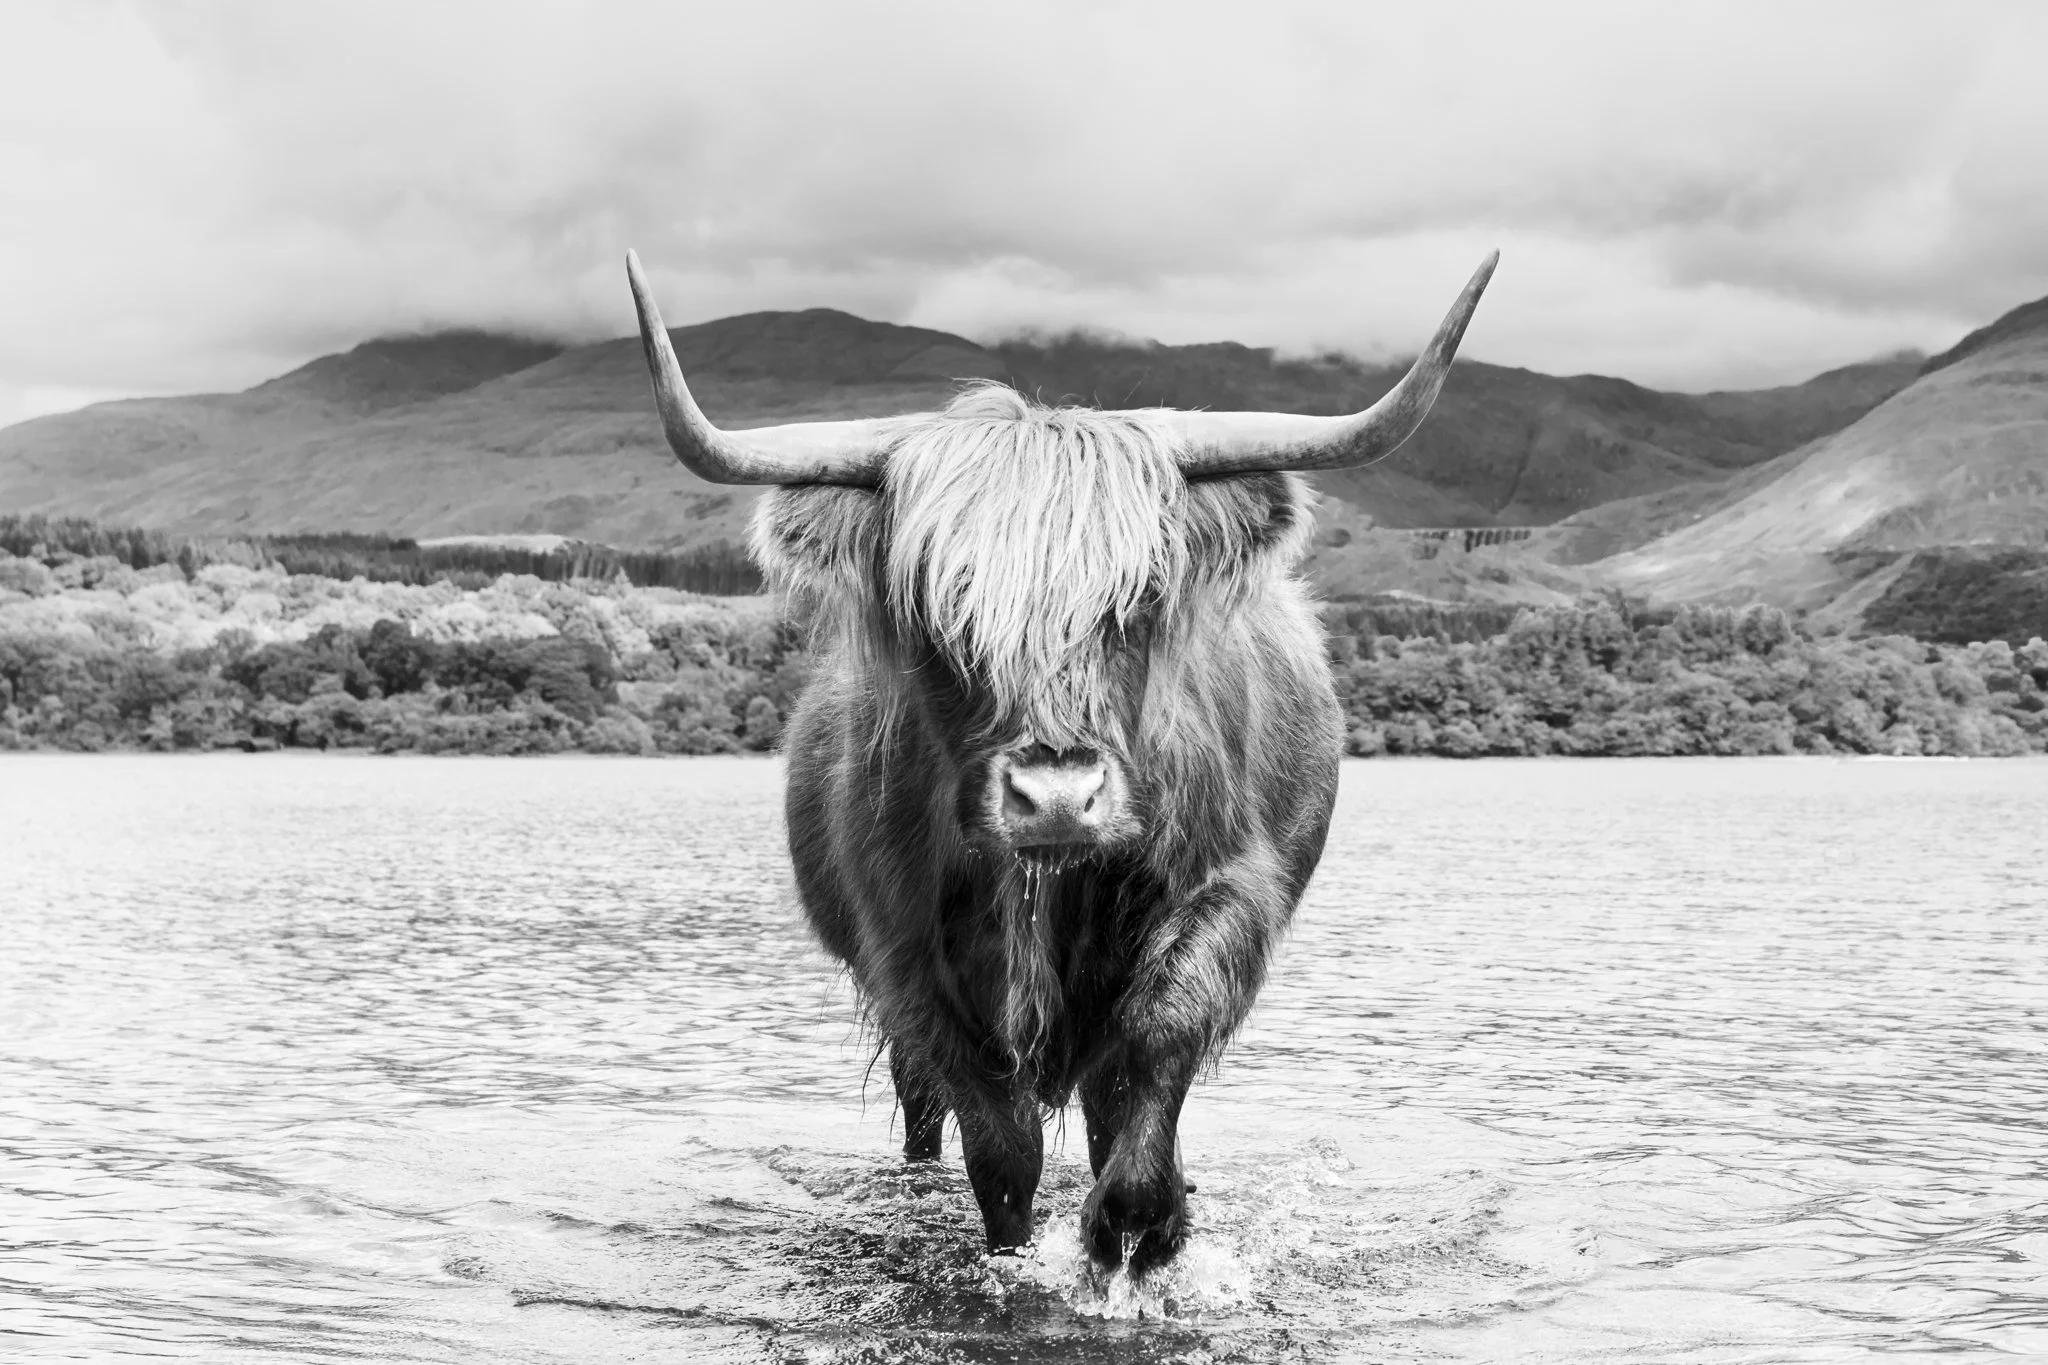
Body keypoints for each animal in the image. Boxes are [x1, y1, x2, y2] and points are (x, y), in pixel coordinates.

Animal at [624, 249, 1495, 1273]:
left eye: (1142, 594)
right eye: (936, 606)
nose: (1055, 799)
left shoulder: (1231, 883)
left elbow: (1157, 1036)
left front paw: (1141, 1223)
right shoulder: (903, 946)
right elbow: (998, 1140)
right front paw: (1023, 1249)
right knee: (926, 1109)